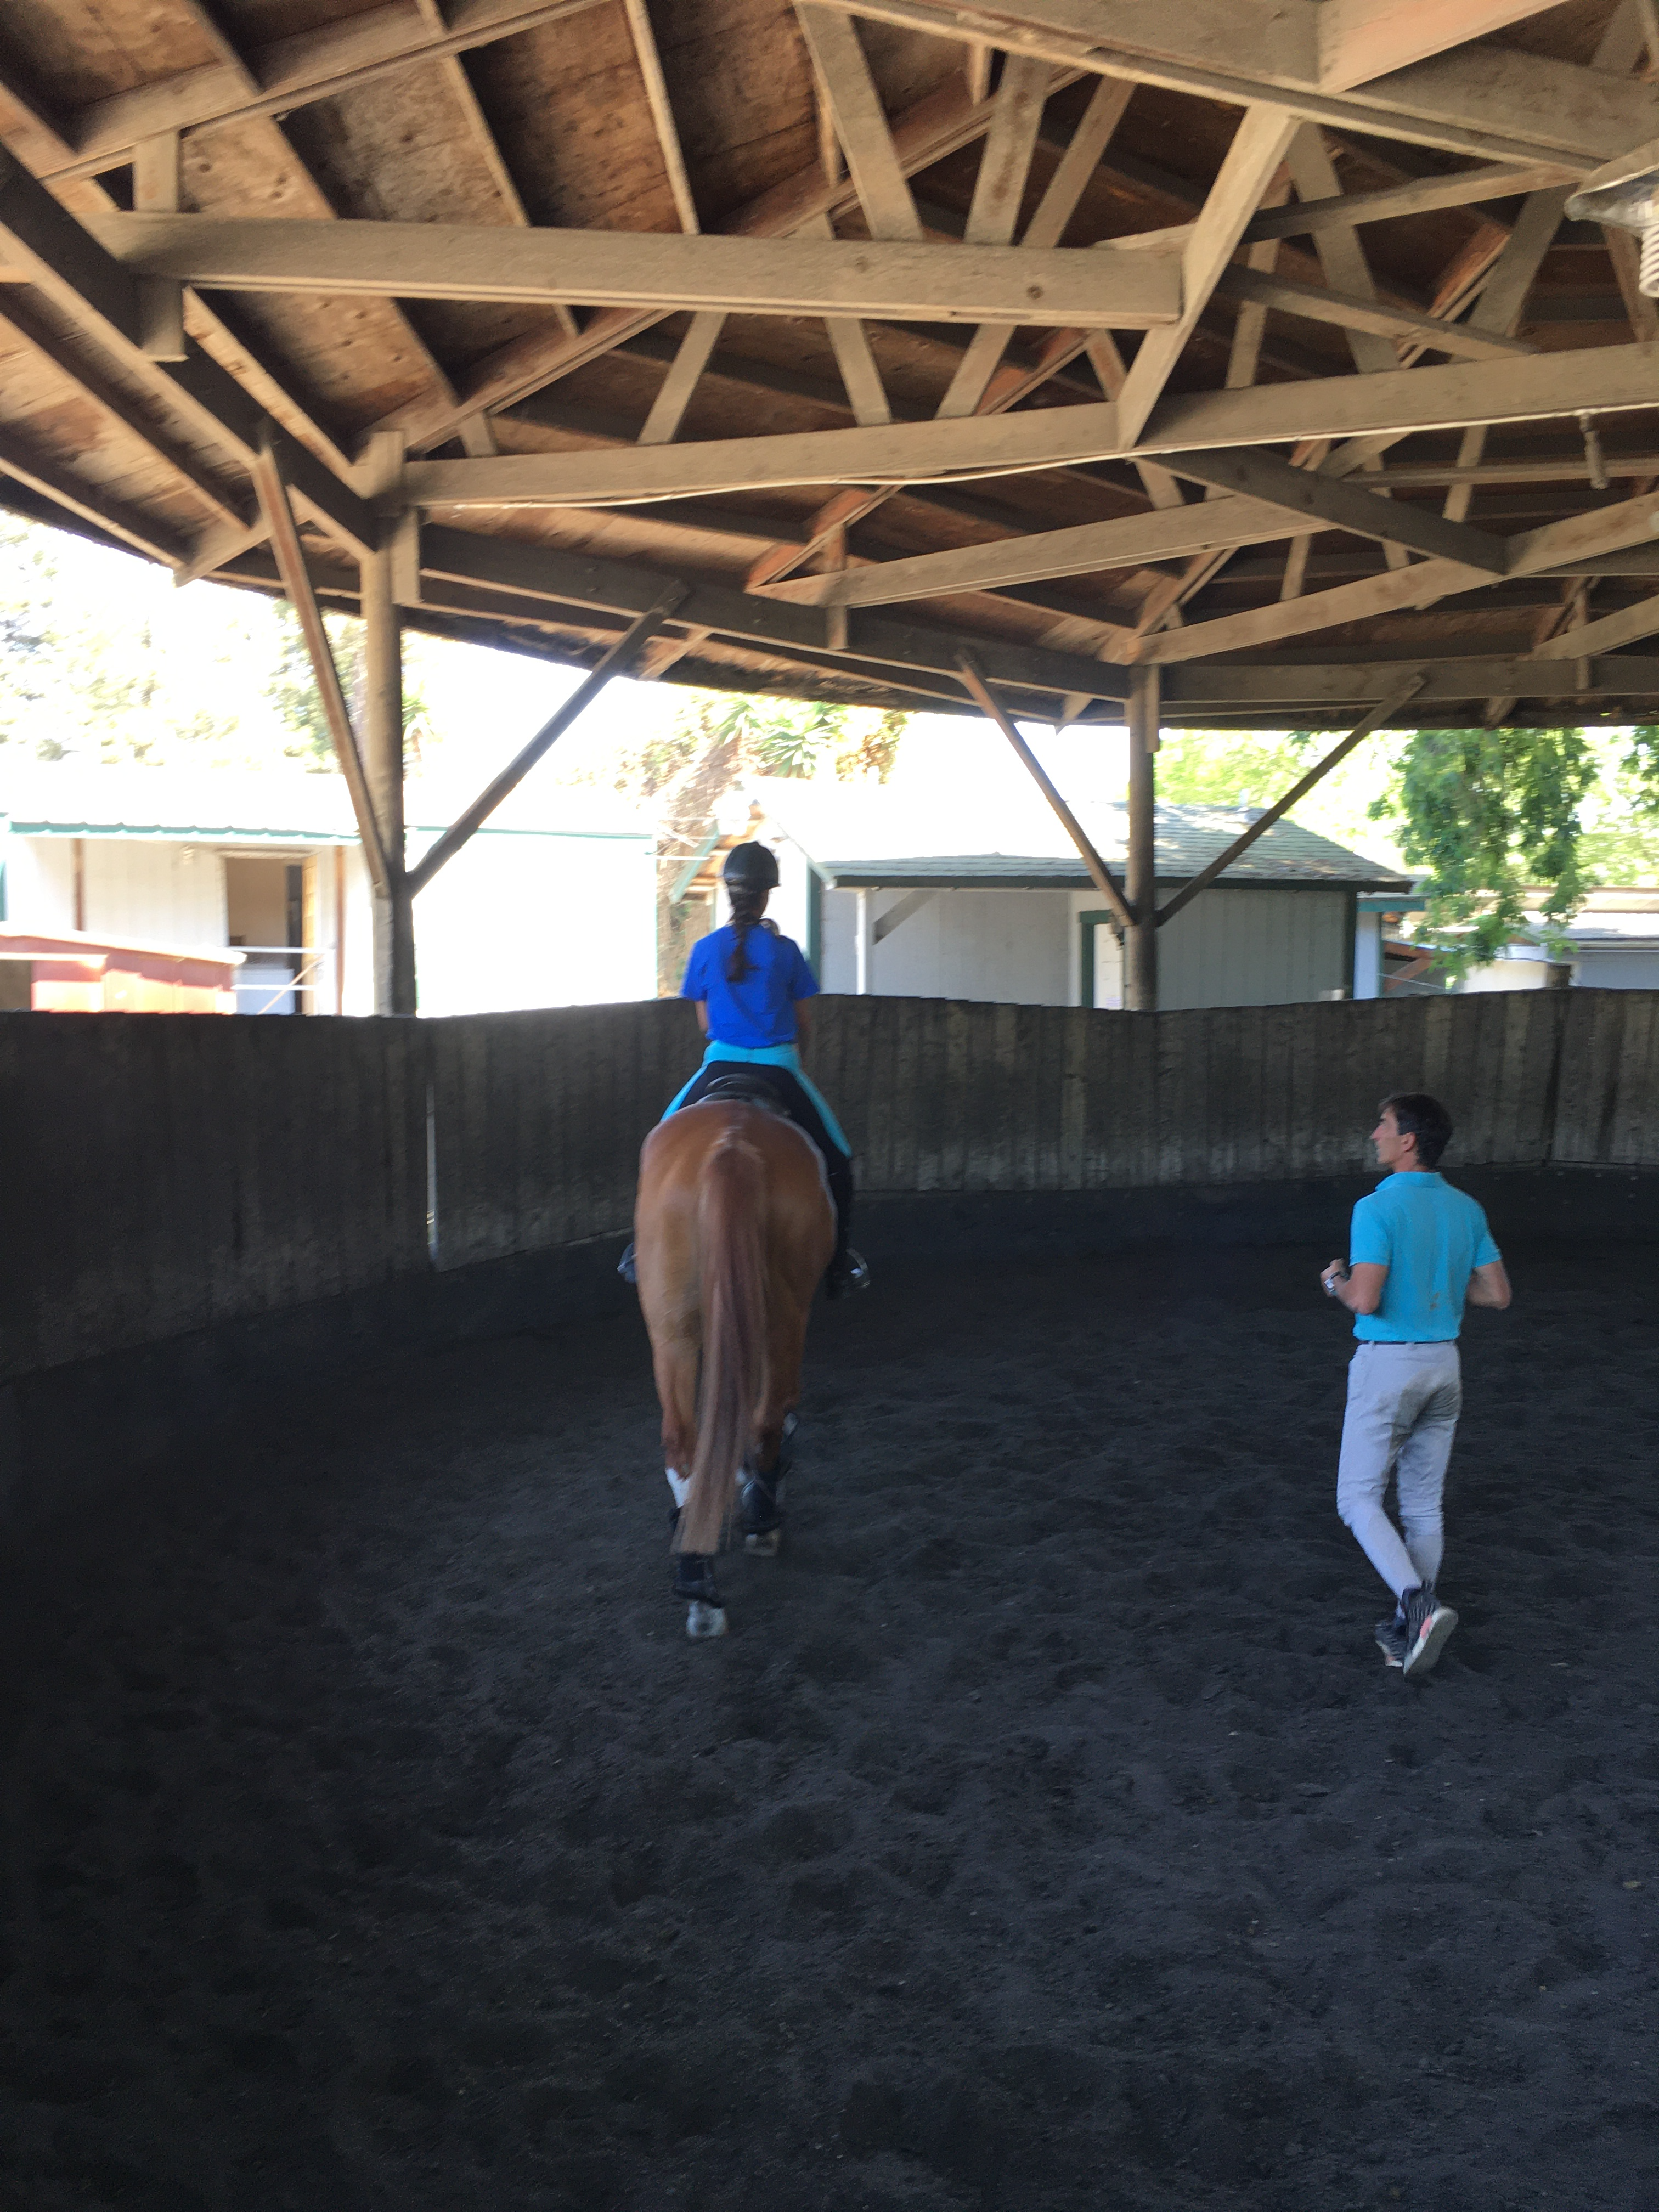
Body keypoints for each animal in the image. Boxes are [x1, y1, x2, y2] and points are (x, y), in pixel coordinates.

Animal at [641, 1092, 845, 1637]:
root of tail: (729, 1147)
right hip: (787, 1310)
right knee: (769, 1416)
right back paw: (761, 1524)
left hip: (673, 1323)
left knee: (682, 1440)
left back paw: (697, 1578)